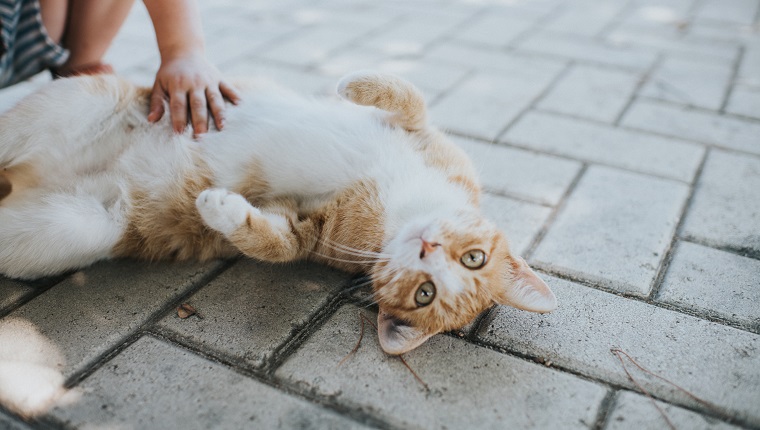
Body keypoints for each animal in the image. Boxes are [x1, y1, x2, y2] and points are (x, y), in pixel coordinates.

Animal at [0, 69, 560, 352]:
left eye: (426, 294)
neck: (398, 211)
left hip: (74, 229)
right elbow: (406, 96)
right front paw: (351, 84)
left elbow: (273, 240)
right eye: (474, 259)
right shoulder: (425, 135)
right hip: (80, 104)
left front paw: (220, 209)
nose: (427, 246)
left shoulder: (304, 227)